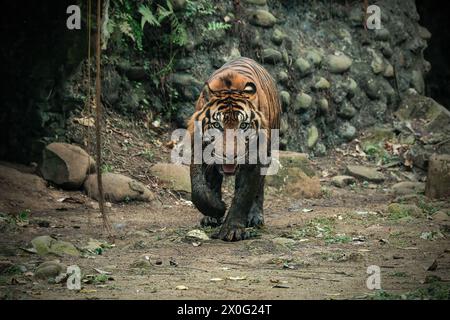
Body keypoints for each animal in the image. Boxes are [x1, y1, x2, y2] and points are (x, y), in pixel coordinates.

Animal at [186, 57, 282, 241]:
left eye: (243, 125)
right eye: (217, 125)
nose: (231, 156)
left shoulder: (255, 158)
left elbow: (243, 194)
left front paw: (232, 230)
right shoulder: (198, 149)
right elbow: (199, 190)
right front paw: (218, 208)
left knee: (259, 188)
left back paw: (255, 217)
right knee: (213, 180)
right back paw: (211, 217)